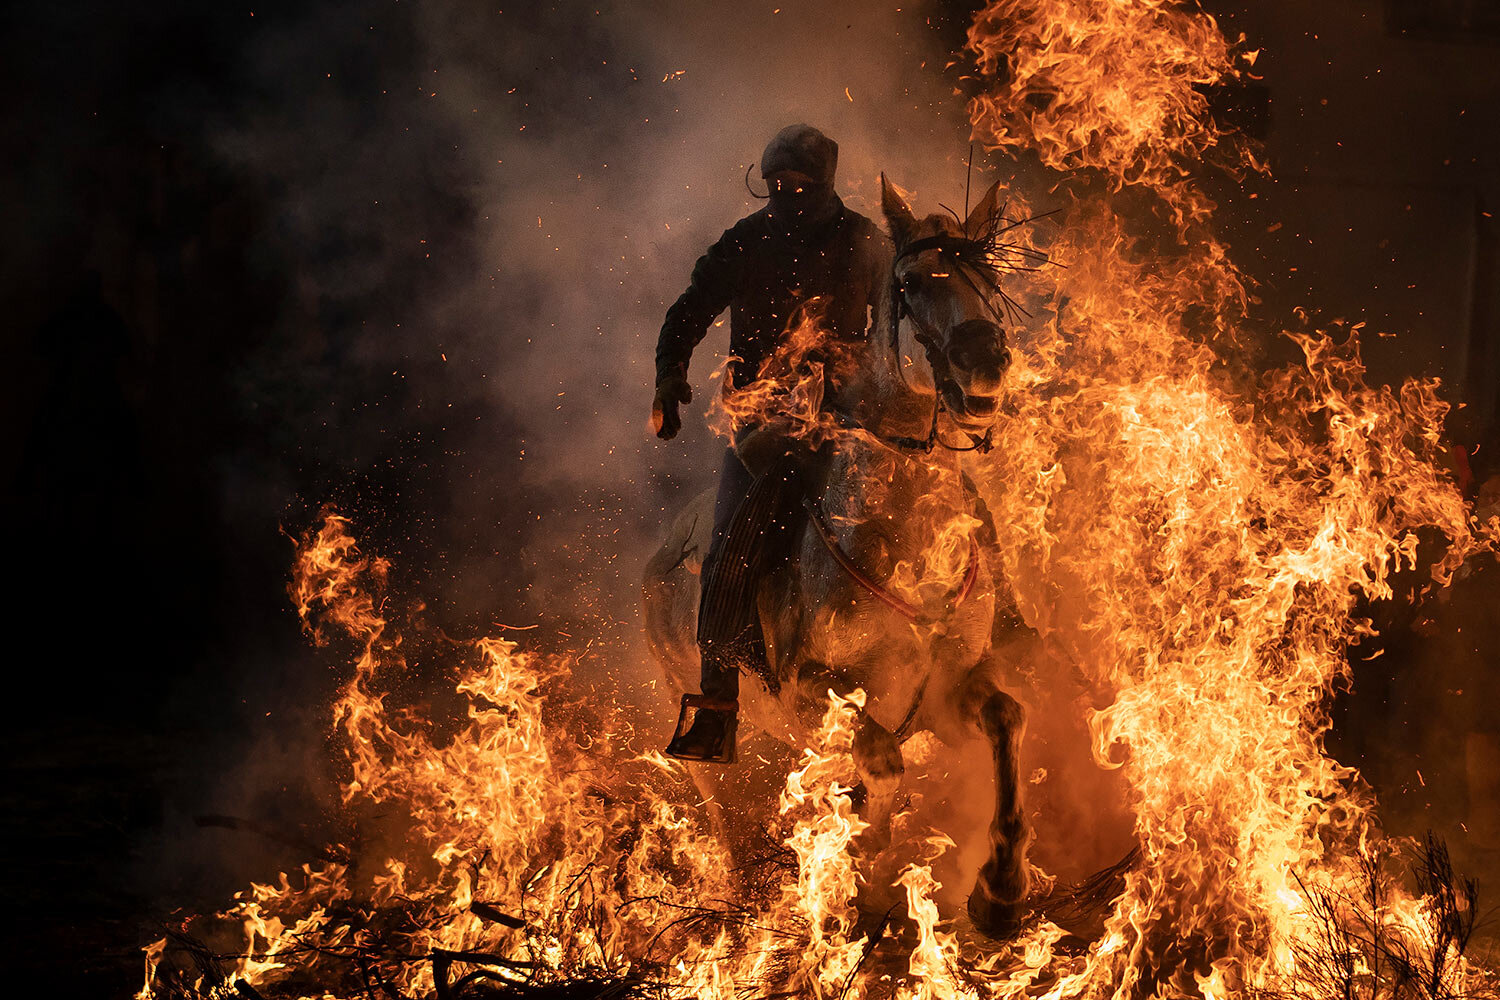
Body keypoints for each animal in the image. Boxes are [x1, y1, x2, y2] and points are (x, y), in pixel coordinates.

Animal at [639, 173, 1038, 941]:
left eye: (991, 280)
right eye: (912, 282)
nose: (986, 359)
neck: (902, 536)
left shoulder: (954, 687)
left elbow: (1006, 717)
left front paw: (998, 890)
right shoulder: (813, 689)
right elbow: (880, 763)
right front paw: (868, 880)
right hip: (703, 721)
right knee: (722, 805)